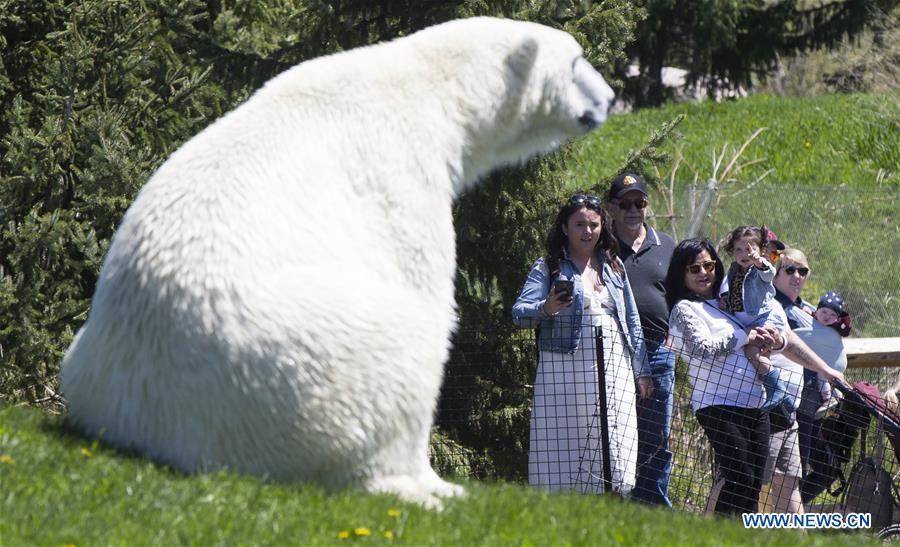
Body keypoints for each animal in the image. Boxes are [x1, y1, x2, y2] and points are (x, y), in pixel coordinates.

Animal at [59, 15, 616, 508]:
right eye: (576, 61)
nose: (610, 98)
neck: (429, 93)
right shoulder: (401, 179)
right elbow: (424, 292)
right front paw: (437, 481)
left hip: (90, 366)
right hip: (304, 359)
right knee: (394, 355)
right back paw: (416, 487)